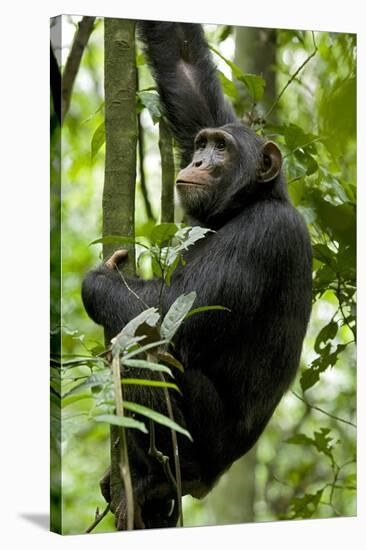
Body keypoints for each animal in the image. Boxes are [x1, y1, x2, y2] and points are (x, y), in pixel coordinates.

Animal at [81, 20, 314, 532]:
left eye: (222, 150)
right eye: (205, 141)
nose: (199, 160)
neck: (247, 203)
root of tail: (214, 478)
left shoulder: (264, 233)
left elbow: (174, 314)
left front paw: (100, 282)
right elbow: (183, 62)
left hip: (201, 443)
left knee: (140, 348)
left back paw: (161, 478)